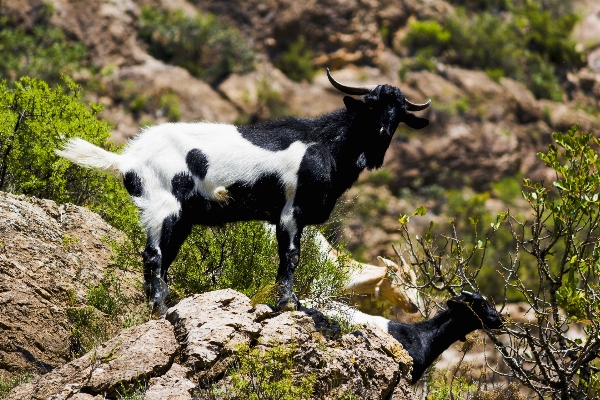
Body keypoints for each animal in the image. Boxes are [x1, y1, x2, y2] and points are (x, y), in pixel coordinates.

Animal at [56, 69, 428, 310]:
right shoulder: (290, 212)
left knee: (164, 258)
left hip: (181, 218)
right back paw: (159, 307)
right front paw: (288, 303)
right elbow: (290, 256)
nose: (382, 135)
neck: (324, 144)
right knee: (154, 256)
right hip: (163, 208)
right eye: (371, 105)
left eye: (398, 114)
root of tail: (128, 158)